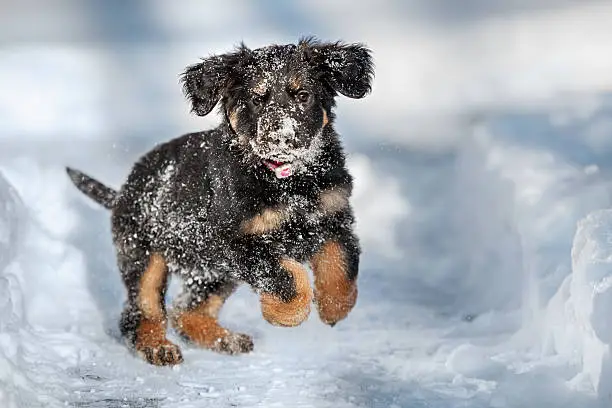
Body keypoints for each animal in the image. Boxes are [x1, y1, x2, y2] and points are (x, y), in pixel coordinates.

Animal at [65, 36, 372, 364]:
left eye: (303, 95)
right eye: (257, 100)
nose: (280, 139)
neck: (290, 181)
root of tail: (123, 191)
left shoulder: (334, 218)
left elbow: (343, 267)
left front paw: (333, 308)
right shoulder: (235, 241)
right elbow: (287, 277)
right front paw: (284, 314)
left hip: (212, 270)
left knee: (185, 310)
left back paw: (227, 340)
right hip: (145, 253)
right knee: (142, 309)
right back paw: (156, 346)